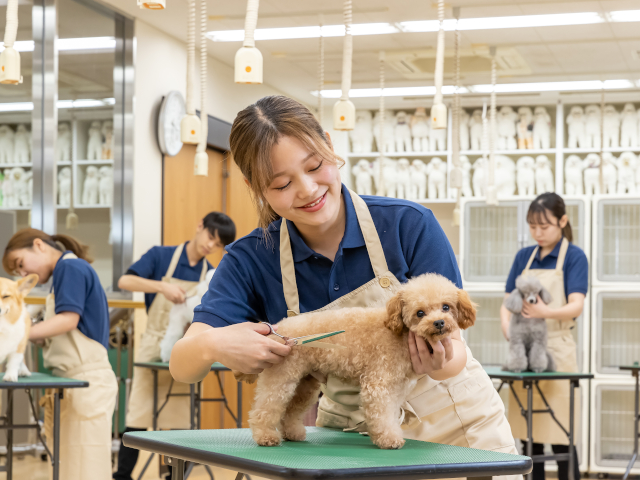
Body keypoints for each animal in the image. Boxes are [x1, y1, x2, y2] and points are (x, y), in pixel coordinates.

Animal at [235, 274, 476, 450]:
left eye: (446, 307)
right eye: (420, 313)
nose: (439, 323)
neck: (399, 333)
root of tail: (278, 332)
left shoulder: (397, 387)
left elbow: (390, 413)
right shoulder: (379, 384)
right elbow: (381, 414)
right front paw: (388, 439)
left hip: (305, 384)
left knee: (291, 411)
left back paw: (293, 433)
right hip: (282, 377)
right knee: (265, 408)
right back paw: (265, 436)